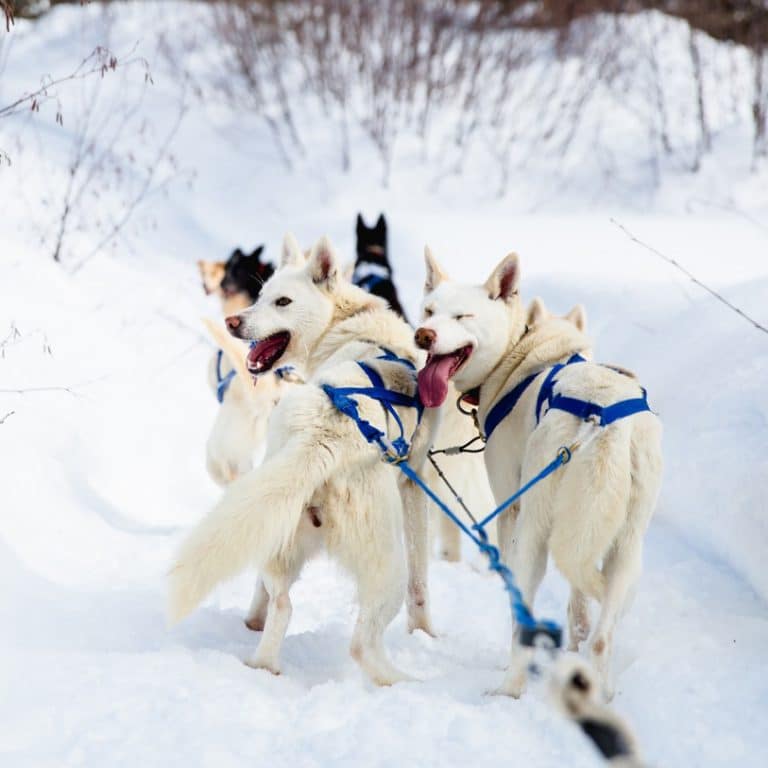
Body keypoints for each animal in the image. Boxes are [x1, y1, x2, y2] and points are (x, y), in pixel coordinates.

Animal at [171, 237, 440, 688]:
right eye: (261, 296)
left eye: (281, 301)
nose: (233, 322)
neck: (350, 322)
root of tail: (325, 437)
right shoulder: (414, 482)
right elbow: (422, 582)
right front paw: (425, 634)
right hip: (387, 566)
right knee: (362, 644)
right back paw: (405, 682)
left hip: (278, 534)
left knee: (279, 602)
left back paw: (262, 656)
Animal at [416, 249, 664, 700]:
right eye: (429, 310)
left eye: (462, 316)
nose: (423, 335)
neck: (526, 350)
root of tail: (599, 420)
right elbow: (579, 598)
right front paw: (577, 630)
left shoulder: (508, 507)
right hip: (627, 542)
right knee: (602, 634)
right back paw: (601, 683)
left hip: (534, 522)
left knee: (524, 611)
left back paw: (510, 685)